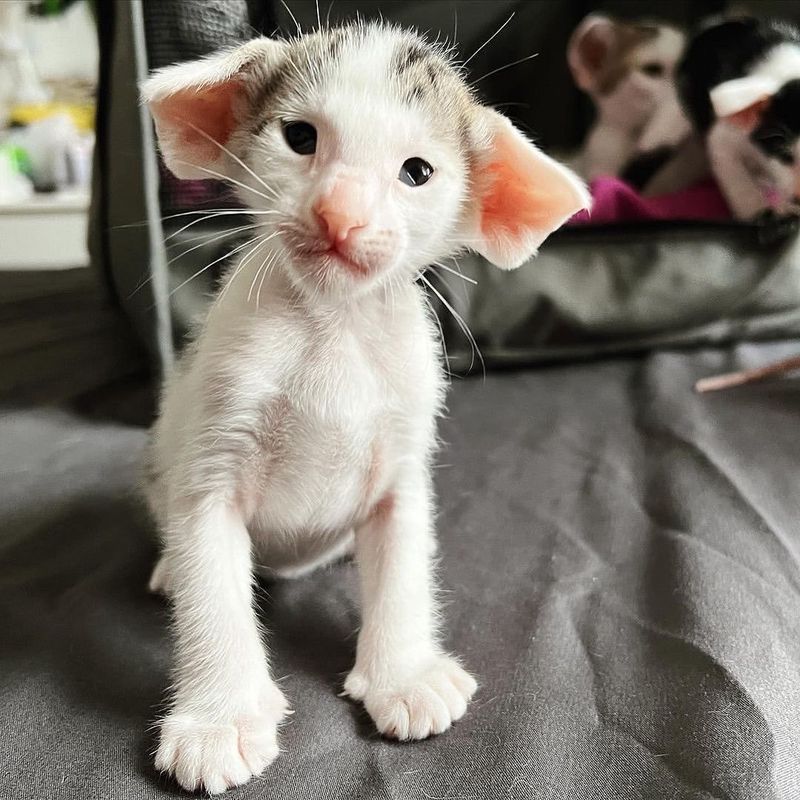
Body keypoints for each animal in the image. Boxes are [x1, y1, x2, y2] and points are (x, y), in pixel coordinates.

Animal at [141, 21, 588, 792]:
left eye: (416, 172)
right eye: (300, 137)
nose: (340, 214)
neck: (332, 324)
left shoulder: (404, 461)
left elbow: (405, 553)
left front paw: (405, 676)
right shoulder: (212, 454)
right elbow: (211, 580)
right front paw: (220, 719)